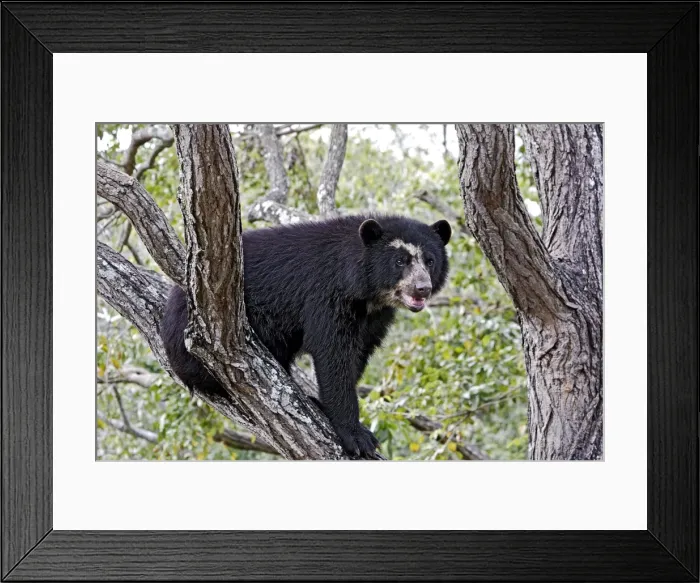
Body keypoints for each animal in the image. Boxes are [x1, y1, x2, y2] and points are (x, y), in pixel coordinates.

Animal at [159, 215, 451, 457]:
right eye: (400, 261)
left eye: (430, 261)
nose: (422, 288)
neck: (367, 295)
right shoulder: (326, 296)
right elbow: (333, 354)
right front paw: (358, 437)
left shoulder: (375, 318)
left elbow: (358, 355)